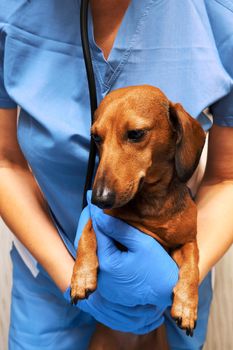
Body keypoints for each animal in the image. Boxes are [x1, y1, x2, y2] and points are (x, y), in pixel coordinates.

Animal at [70, 85, 206, 350]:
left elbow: (192, 267)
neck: (150, 207)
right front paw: (81, 277)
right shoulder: (100, 221)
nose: (99, 198)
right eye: (96, 138)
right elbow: (87, 234)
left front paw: (187, 306)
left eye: (135, 134)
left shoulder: (187, 242)